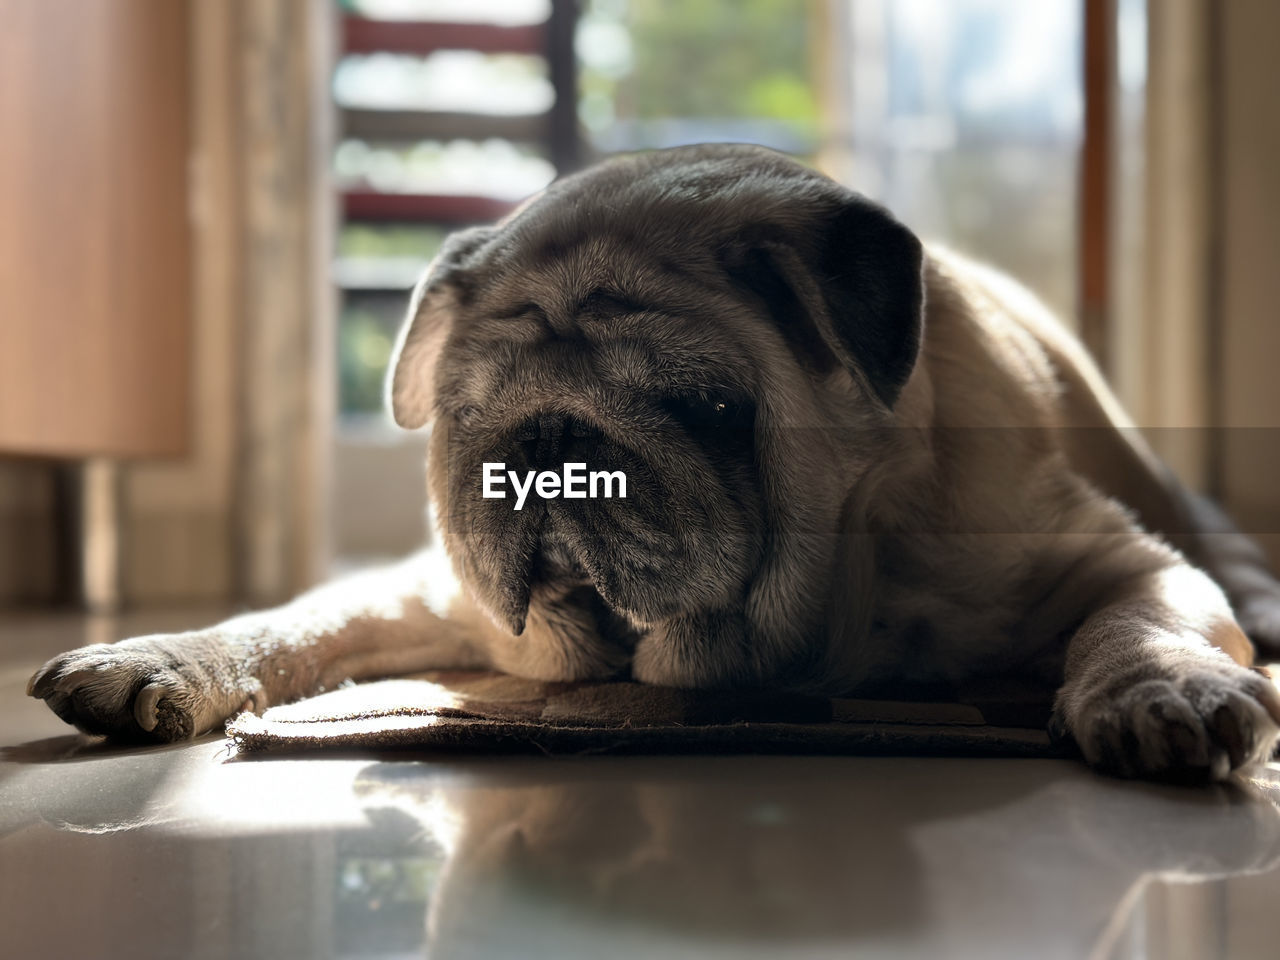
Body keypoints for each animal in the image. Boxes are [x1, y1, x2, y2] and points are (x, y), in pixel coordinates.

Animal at [24, 146, 1280, 783]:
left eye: (708, 408)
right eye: (467, 417)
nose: (545, 440)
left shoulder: (1113, 562)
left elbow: (1139, 620)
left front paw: (1159, 691)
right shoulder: (435, 598)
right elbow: (295, 621)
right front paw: (167, 656)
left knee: (1211, 539)